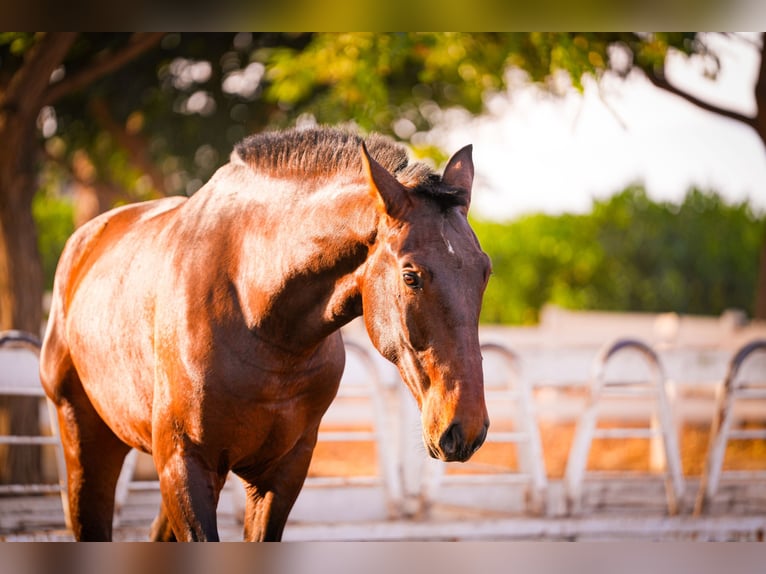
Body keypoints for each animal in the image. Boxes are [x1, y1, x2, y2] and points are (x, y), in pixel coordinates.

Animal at [40, 125, 492, 540]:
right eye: (411, 276)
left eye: (485, 271)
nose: (464, 429)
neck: (257, 315)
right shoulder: (185, 465)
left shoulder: (282, 473)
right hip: (87, 443)